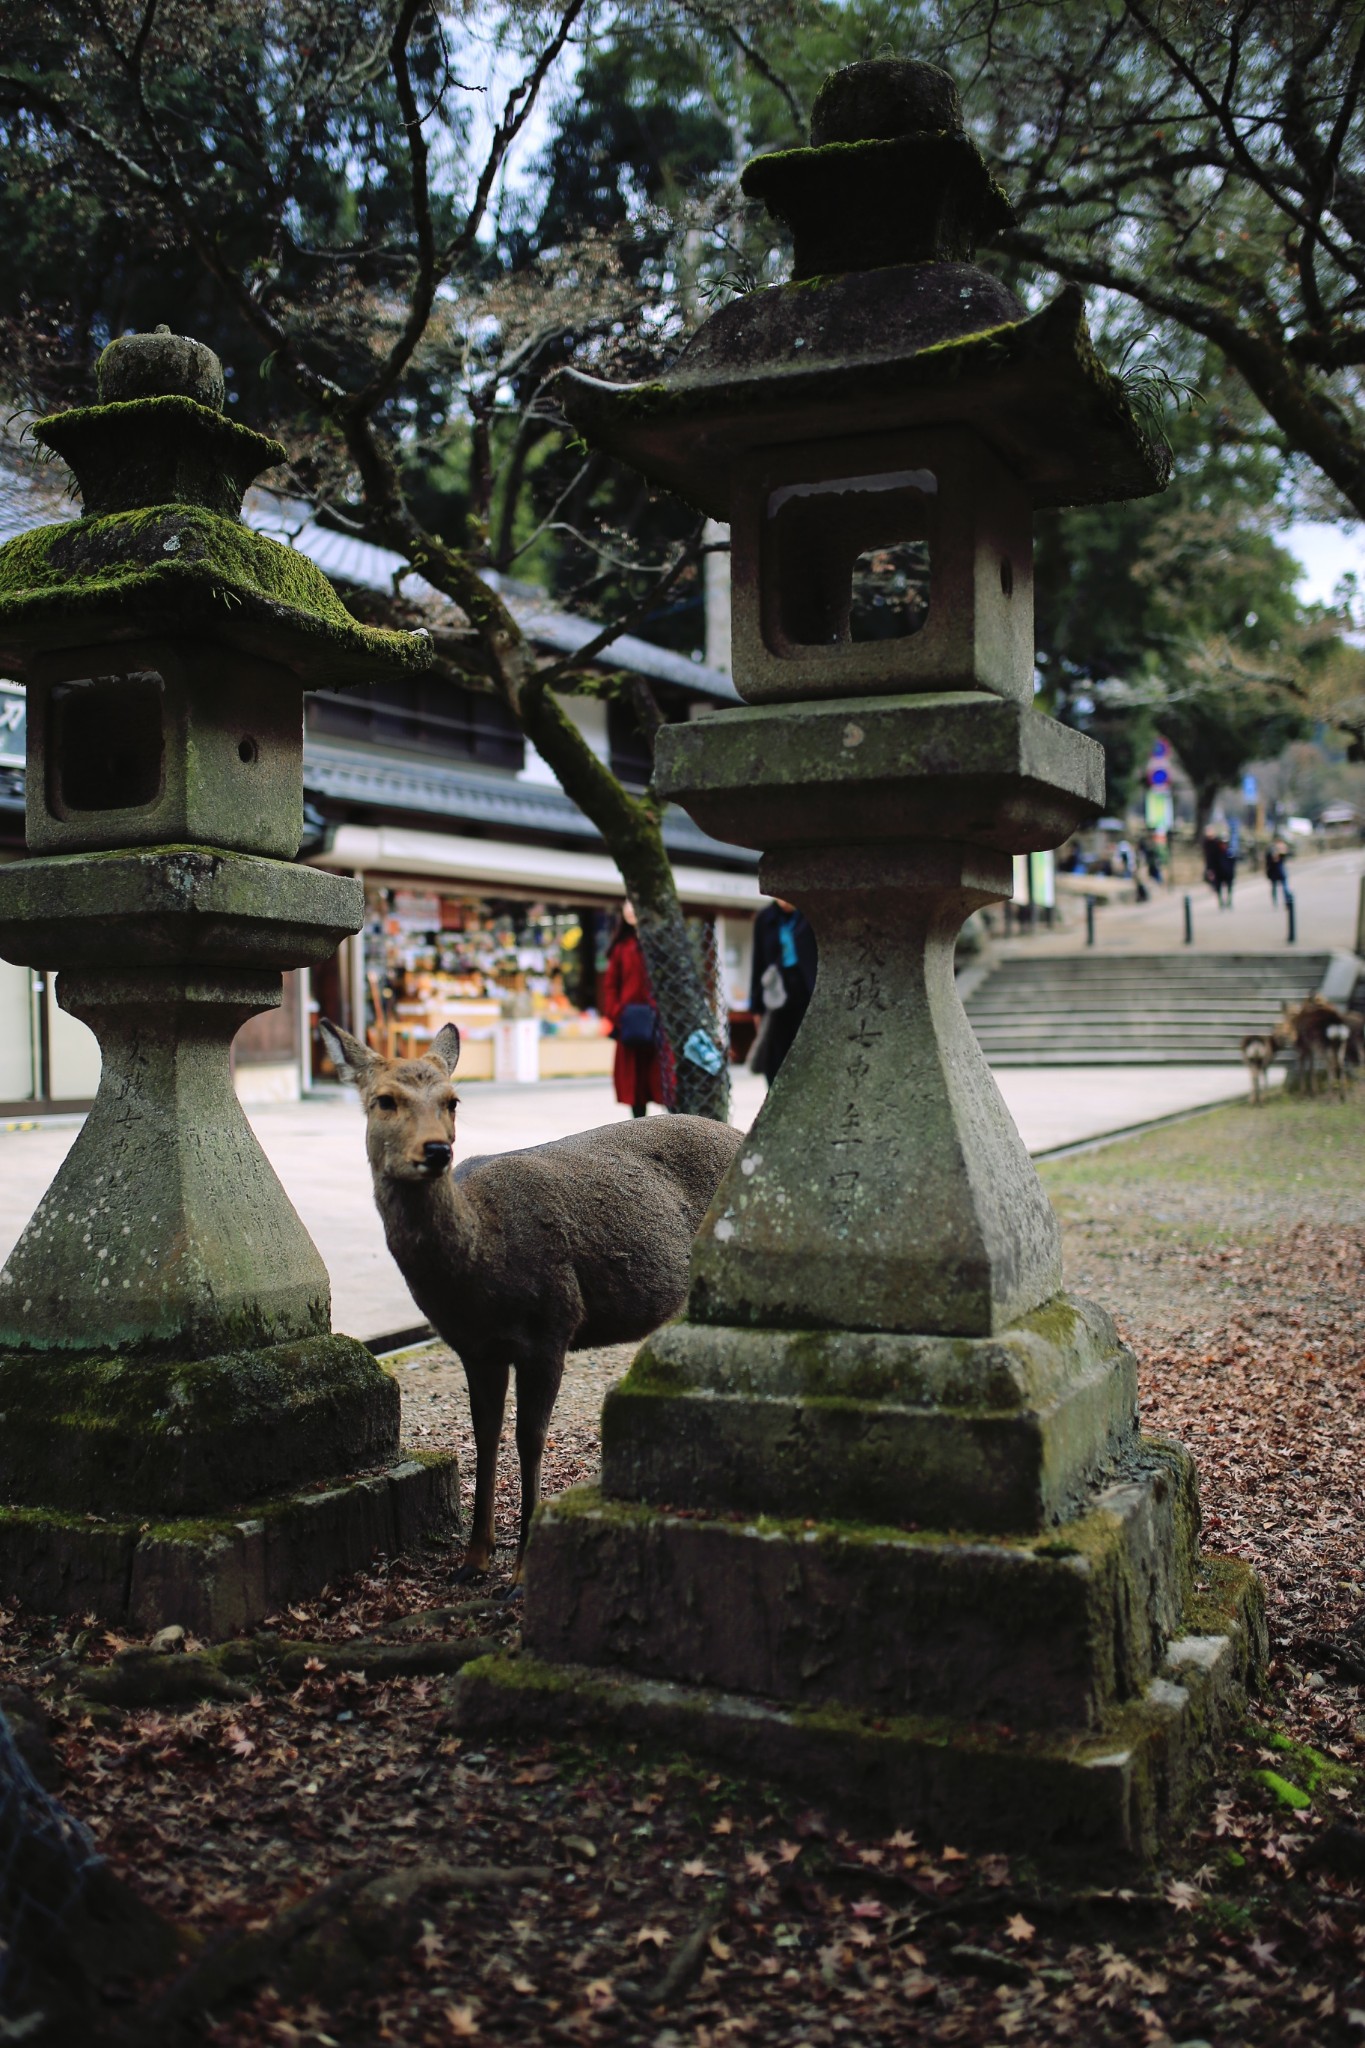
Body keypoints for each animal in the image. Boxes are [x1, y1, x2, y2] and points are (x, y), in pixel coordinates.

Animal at [321, 1019, 749, 1581]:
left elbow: (530, 1437)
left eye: (453, 1100)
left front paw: (522, 1568)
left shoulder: (553, 1326)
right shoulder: (474, 1348)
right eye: (384, 1100)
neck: (479, 1273)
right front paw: (474, 1560)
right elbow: (484, 1436)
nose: (435, 1151)